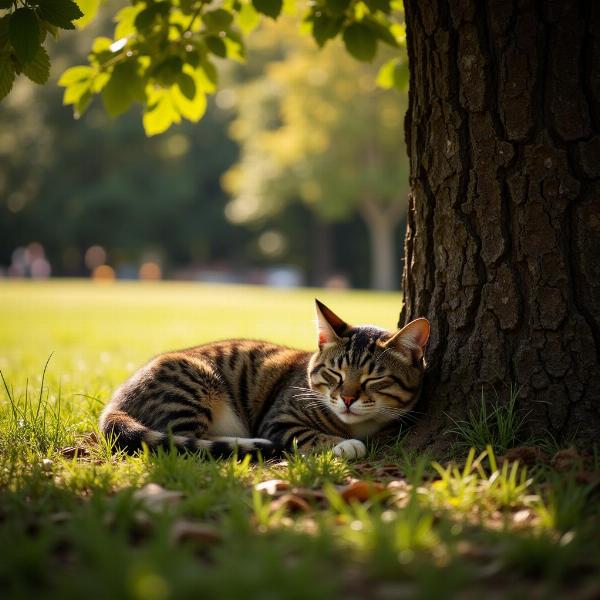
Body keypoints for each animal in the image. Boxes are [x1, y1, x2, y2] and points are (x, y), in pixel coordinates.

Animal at [98, 300, 428, 460]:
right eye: (334, 374)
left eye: (374, 379)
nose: (347, 398)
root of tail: (115, 402)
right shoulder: (280, 418)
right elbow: (310, 435)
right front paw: (345, 445)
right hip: (193, 383)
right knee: (183, 441)